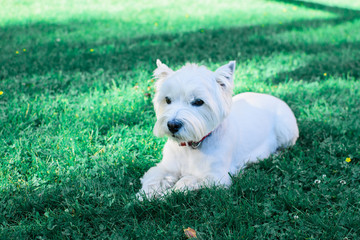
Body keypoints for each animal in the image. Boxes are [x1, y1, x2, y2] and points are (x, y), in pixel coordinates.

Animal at [138, 59, 298, 199]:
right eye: (167, 100)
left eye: (198, 102)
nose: (172, 125)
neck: (192, 147)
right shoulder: (167, 167)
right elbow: (153, 176)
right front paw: (145, 196)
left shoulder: (216, 177)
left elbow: (186, 180)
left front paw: (165, 195)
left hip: (285, 129)